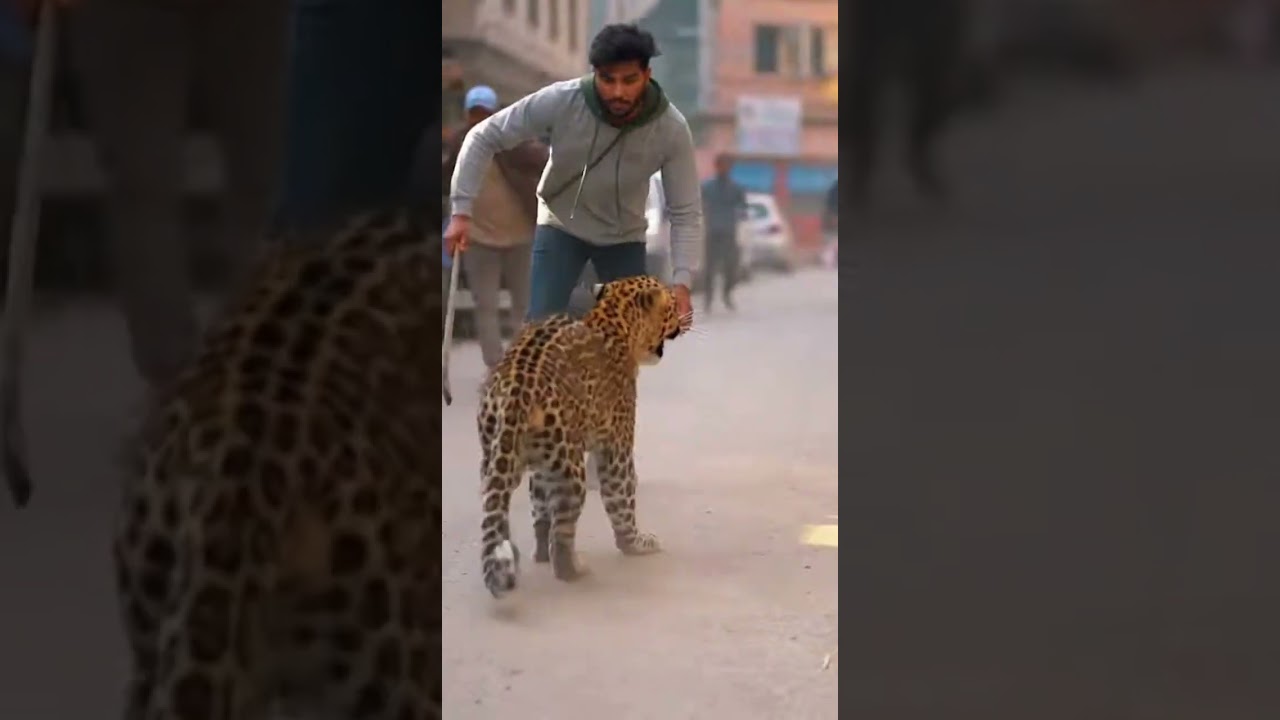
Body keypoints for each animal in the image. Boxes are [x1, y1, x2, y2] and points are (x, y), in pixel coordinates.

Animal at [477, 274, 691, 599]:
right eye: (670, 305)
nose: (680, 317)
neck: (616, 322)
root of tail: (517, 387)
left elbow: (540, 506)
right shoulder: (616, 447)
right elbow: (622, 498)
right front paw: (636, 543)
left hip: (499, 455)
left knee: (500, 509)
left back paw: (515, 552)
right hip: (570, 470)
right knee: (562, 532)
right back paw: (574, 569)